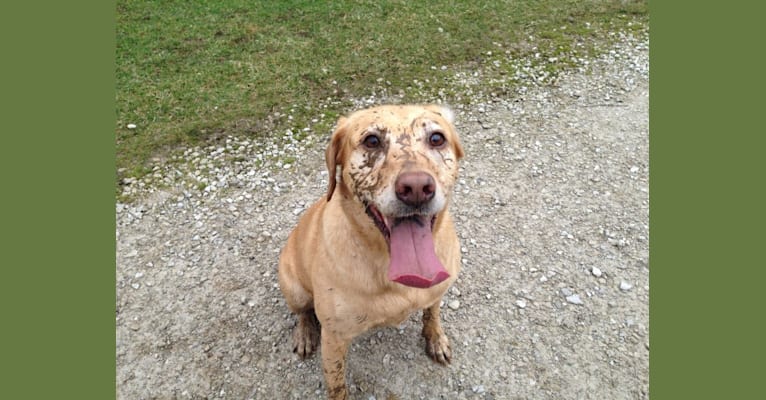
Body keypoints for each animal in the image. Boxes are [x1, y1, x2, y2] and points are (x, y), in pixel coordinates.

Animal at [280, 104, 464, 398]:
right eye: (372, 141)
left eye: (437, 138)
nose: (416, 188)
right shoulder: (334, 338)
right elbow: (337, 385)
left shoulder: (437, 291)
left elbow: (432, 313)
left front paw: (435, 338)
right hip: (294, 289)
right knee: (302, 312)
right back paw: (305, 333)